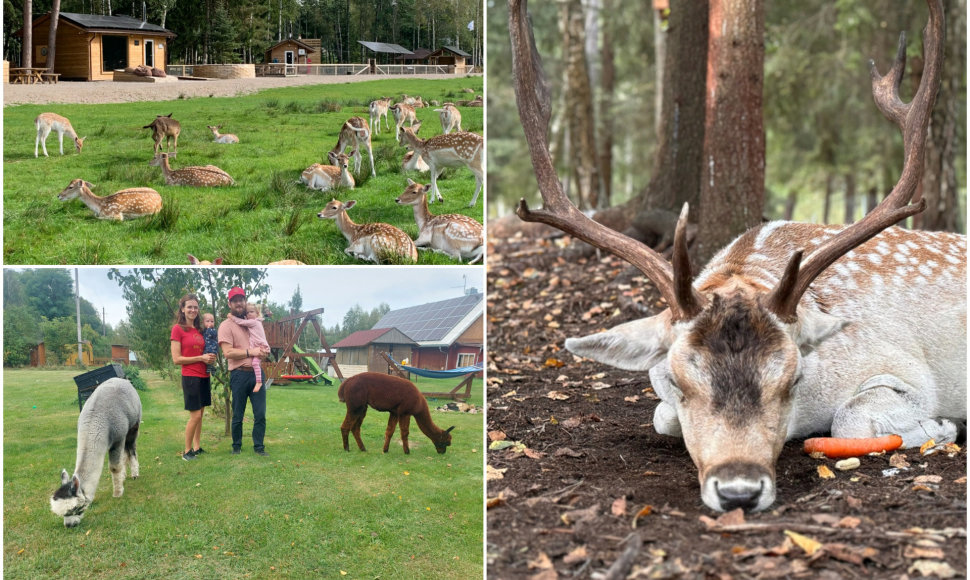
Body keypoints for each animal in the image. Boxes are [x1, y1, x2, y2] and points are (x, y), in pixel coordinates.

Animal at [50, 378, 140, 528]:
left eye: (76, 508)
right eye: (62, 514)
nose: (69, 525)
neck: (96, 420)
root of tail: (121, 379)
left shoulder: (118, 437)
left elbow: (114, 467)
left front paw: (117, 493)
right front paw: (120, 482)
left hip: (134, 424)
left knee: (131, 447)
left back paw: (135, 474)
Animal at [506, 0, 960, 516]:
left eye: (794, 380)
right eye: (679, 381)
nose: (738, 490)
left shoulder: (908, 374)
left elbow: (850, 418)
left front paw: (939, 427)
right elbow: (662, 418)